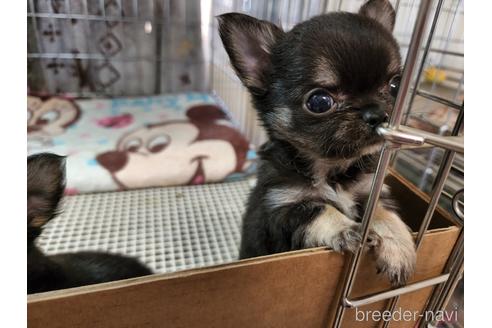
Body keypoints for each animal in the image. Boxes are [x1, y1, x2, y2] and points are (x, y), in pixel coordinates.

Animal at [219, 0, 416, 284]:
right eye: (319, 102)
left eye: (395, 85)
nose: (377, 114)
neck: (331, 170)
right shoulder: (283, 207)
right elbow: (320, 209)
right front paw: (349, 230)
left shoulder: (369, 190)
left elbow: (383, 213)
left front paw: (399, 247)